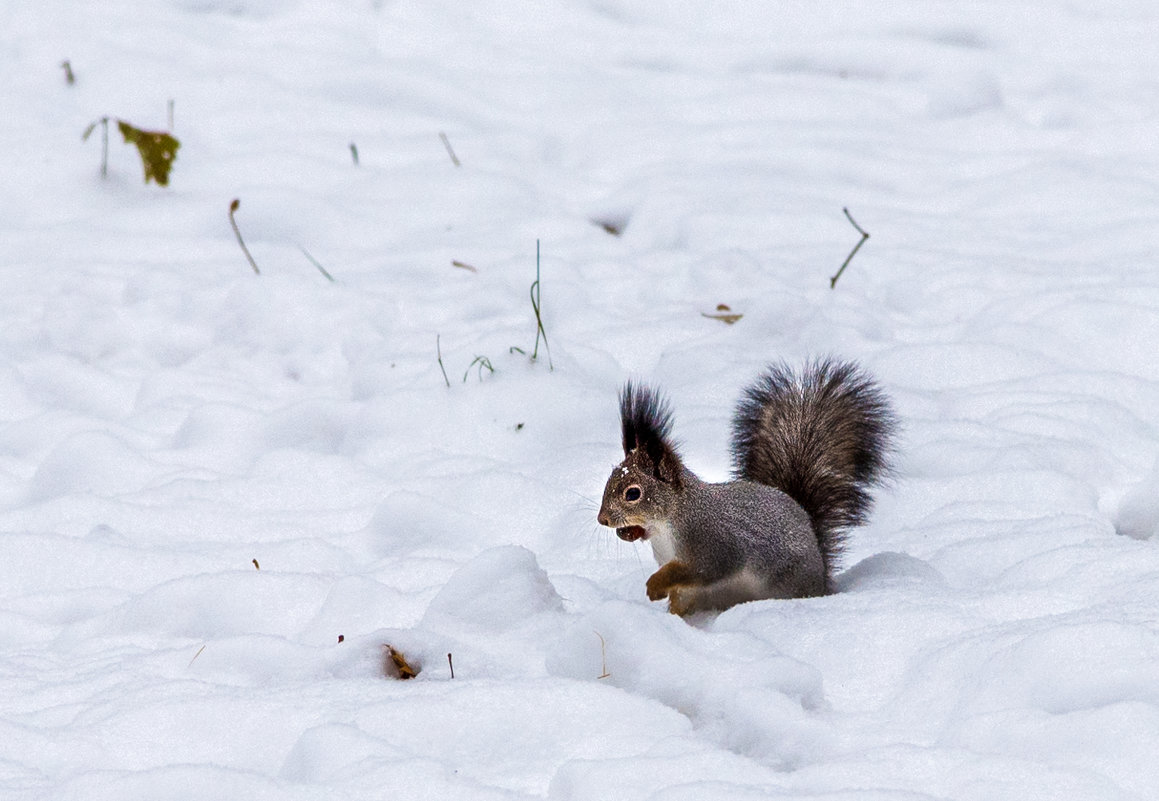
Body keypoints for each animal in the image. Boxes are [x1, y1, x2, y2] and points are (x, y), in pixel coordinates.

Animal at [598, 359, 894, 616]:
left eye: (633, 493)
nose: (603, 520)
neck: (667, 524)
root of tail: (822, 576)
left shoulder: (713, 542)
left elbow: (702, 569)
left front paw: (655, 586)